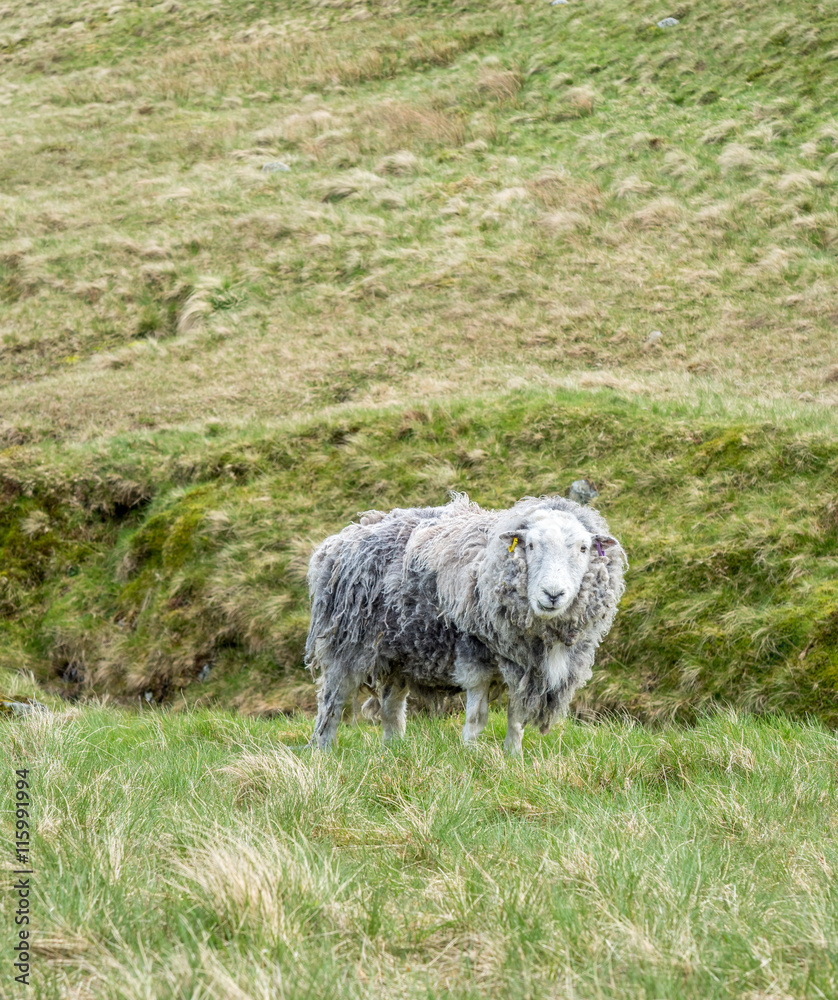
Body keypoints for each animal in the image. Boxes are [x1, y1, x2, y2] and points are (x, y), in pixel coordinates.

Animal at [305, 493, 626, 754]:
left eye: (584, 548)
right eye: (532, 545)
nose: (553, 594)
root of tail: (351, 531)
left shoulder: (524, 665)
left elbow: (516, 717)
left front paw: (514, 757)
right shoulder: (474, 653)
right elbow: (477, 715)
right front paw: (470, 752)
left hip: (400, 652)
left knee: (391, 706)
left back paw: (394, 749)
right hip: (346, 644)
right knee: (331, 701)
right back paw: (324, 750)